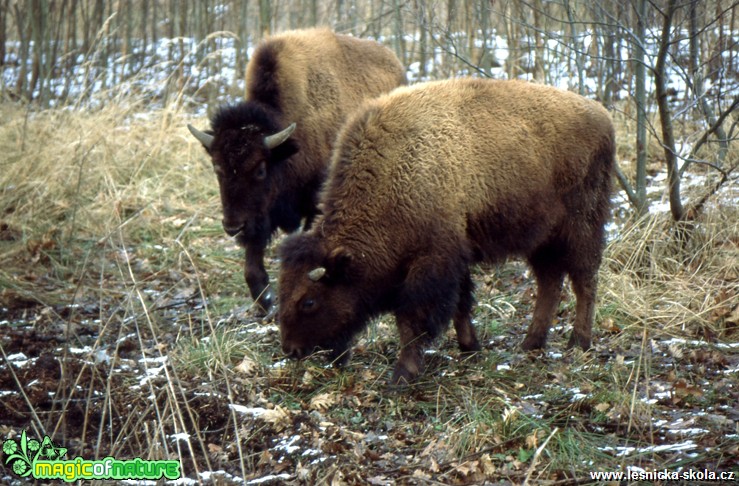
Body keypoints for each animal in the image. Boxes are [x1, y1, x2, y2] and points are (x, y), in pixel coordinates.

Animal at [185, 28, 404, 314]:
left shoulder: (312, 205)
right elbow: (252, 263)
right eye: (217, 167)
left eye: (260, 170)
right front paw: (266, 301)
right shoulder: (260, 216)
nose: (232, 227)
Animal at [276, 78, 612, 386]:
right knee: (550, 283)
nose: (291, 350)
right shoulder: (455, 255)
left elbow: (412, 318)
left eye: (309, 301)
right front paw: (470, 348)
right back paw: (531, 344)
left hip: (581, 228)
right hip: (541, 238)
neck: (392, 174)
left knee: (584, 281)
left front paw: (402, 376)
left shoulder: (432, 261)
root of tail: (603, 115)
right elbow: (461, 303)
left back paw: (578, 343)